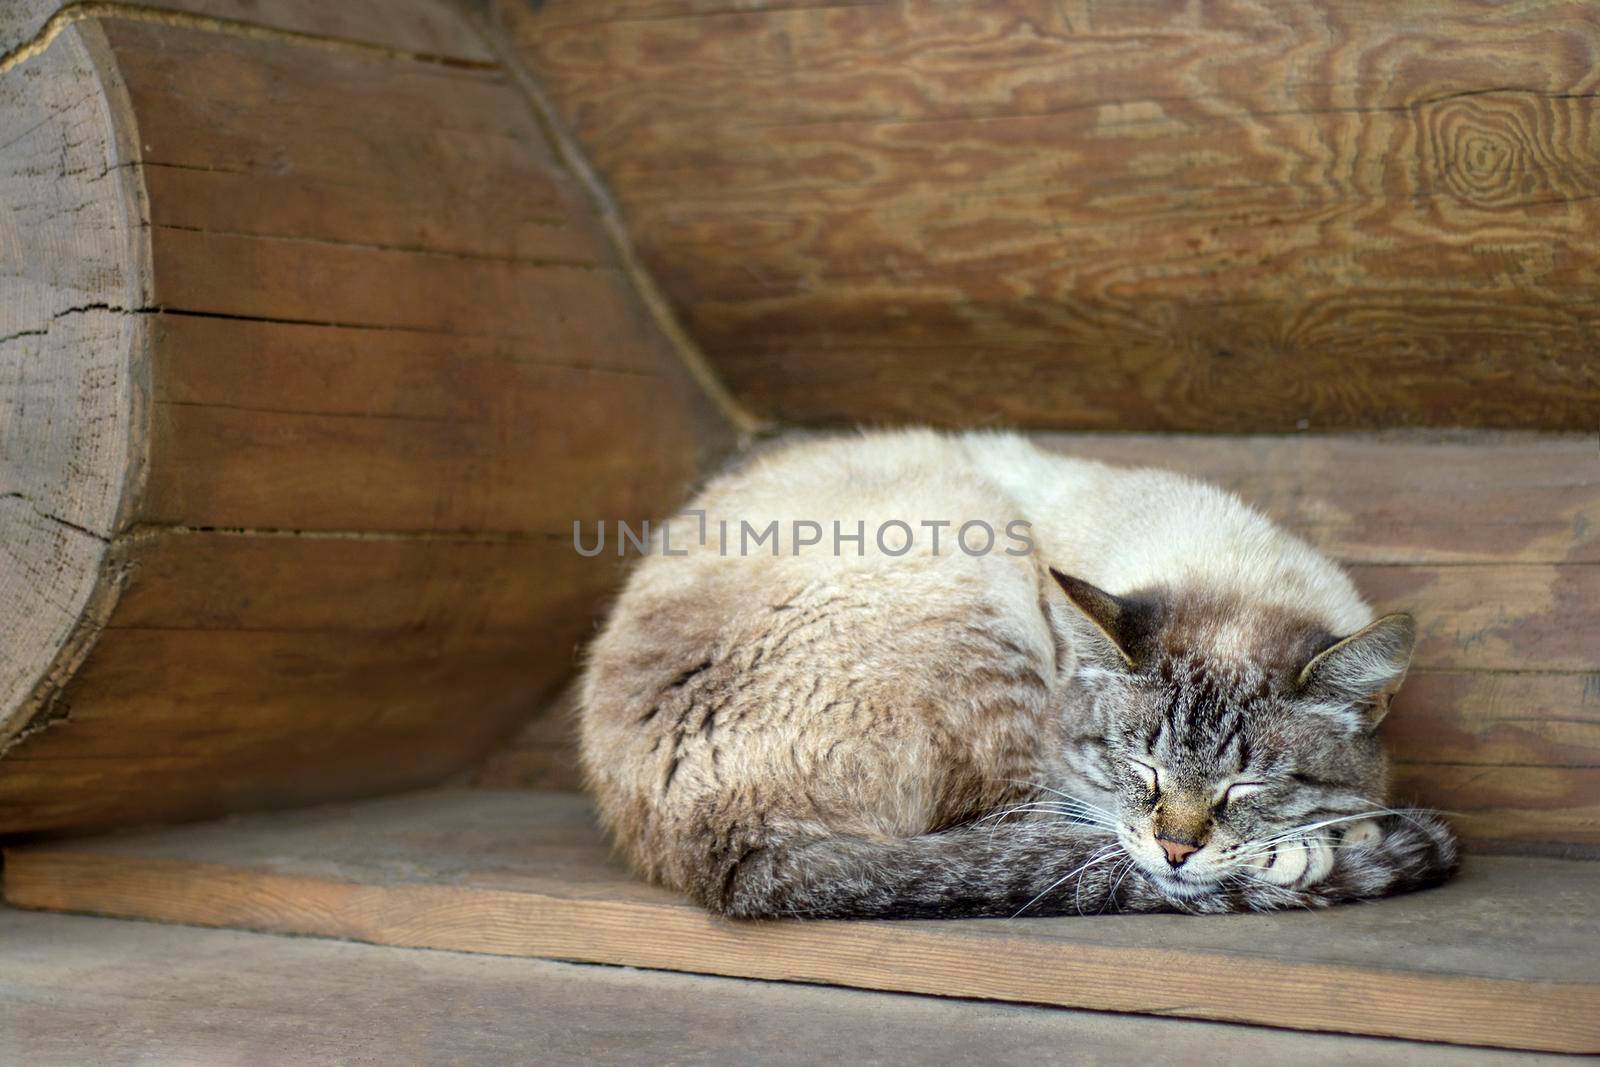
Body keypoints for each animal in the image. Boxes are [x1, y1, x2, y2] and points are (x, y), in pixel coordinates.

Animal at [582, 428, 1459, 921]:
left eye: (1245, 787)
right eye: (1141, 768)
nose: (1177, 849)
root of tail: (717, 851)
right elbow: (1090, 835)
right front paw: (1314, 847)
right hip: (973, 553)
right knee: (1015, 837)